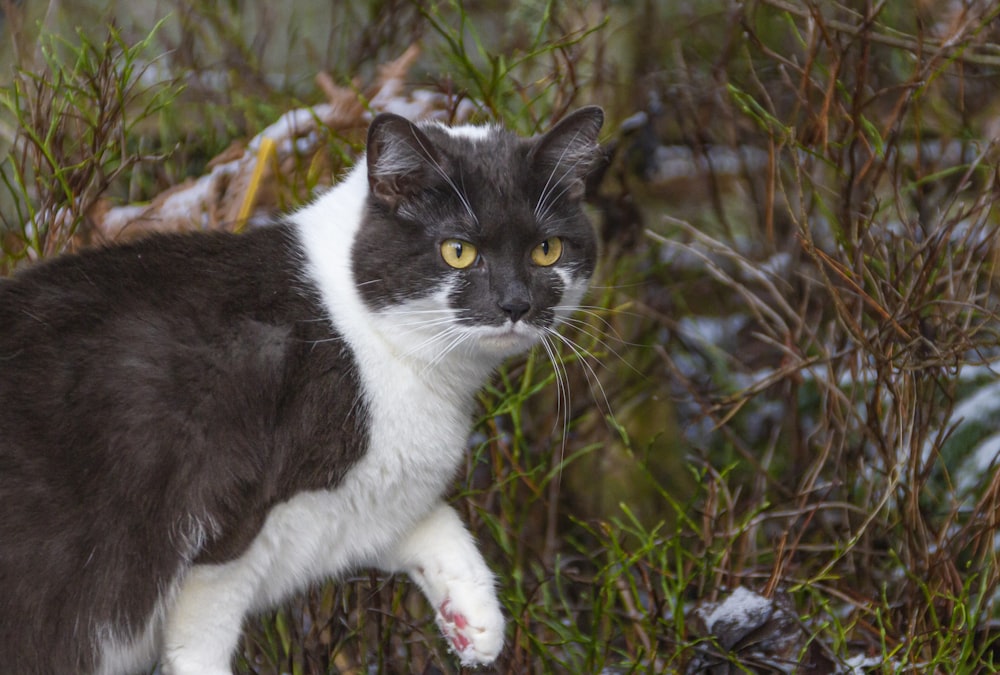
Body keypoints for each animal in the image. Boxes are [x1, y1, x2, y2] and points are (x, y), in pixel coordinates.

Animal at [0, 104, 604, 672]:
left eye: (547, 250)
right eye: (458, 251)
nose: (515, 304)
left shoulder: (345, 510)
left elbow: (426, 515)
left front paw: (475, 617)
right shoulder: (230, 526)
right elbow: (201, 634)